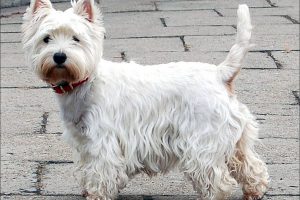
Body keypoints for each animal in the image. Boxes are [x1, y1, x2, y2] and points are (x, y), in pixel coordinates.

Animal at [21, 0, 270, 199]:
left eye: (76, 38)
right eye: (46, 39)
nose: (59, 56)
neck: (84, 81)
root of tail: (220, 73)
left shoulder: (103, 141)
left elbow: (101, 171)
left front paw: (97, 195)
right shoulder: (83, 140)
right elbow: (86, 168)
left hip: (203, 141)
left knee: (218, 179)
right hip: (236, 138)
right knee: (251, 165)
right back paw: (254, 191)